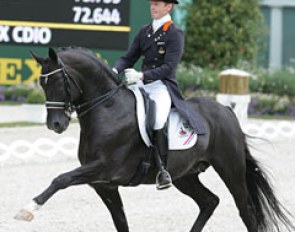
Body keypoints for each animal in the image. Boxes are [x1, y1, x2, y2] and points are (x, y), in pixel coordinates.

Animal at [15, 47, 294, 232]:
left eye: (59, 81)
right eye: (42, 83)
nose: (56, 125)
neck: (107, 109)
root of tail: (226, 111)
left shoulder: (102, 169)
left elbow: (60, 179)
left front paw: (28, 209)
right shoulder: (104, 184)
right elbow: (121, 222)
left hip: (230, 169)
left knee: (245, 210)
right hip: (185, 175)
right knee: (209, 202)